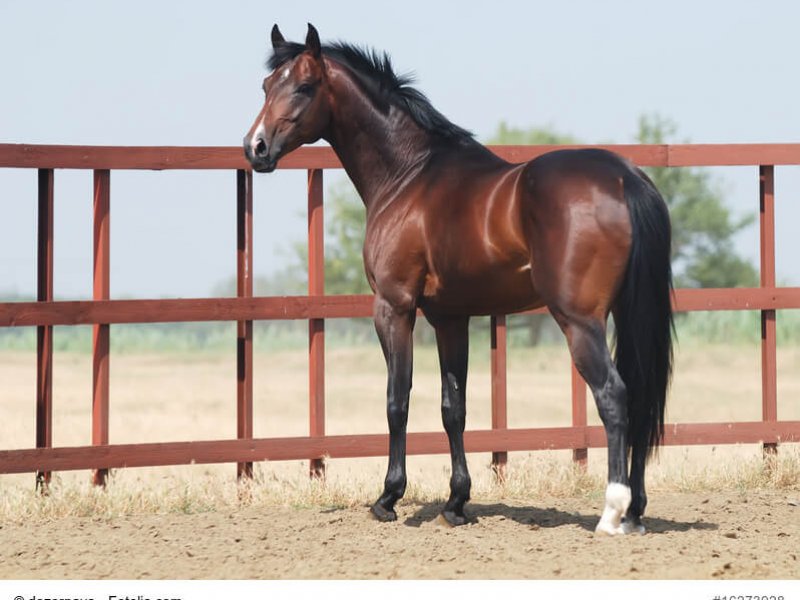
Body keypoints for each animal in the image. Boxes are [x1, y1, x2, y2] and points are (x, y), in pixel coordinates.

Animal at [243, 24, 674, 535]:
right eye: (266, 86)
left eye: (305, 87)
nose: (255, 148)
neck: (409, 175)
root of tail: (626, 179)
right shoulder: (451, 318)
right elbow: (455, 409)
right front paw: (456, 502)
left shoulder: (394, 307)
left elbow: (397, 401)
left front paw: (388, 497)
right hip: (625, 314)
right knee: (641, 394)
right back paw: (637, 509)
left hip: (579, 321)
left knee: (613, 395)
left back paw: (612, 511)